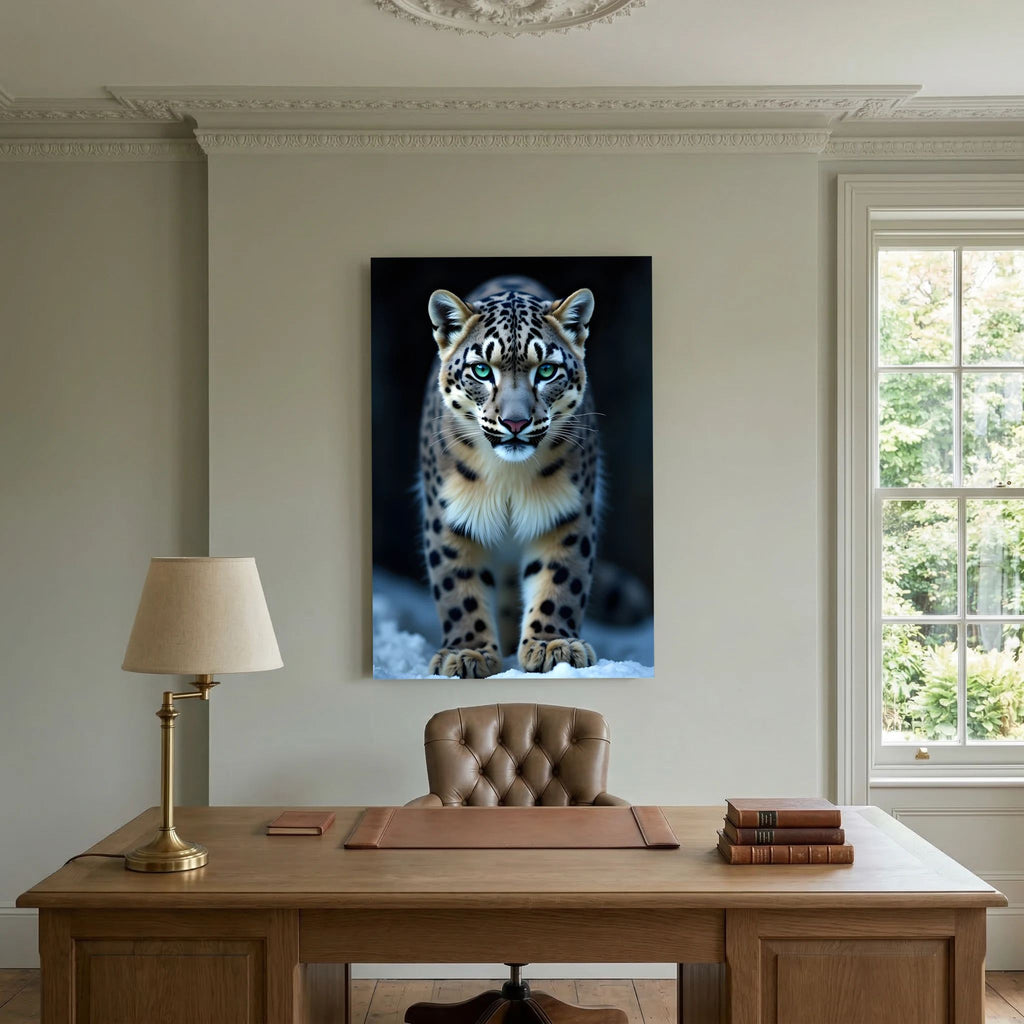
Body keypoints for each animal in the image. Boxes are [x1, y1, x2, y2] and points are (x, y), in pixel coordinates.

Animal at [418, 276, 602, 678]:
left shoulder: (566, 512)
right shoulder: (450, 516)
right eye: (482, 370)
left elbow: (560, 578)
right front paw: (467, 652)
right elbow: (458, 587)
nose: (515, 422)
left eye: (546, 370)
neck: (508, 477)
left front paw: (552, 645)